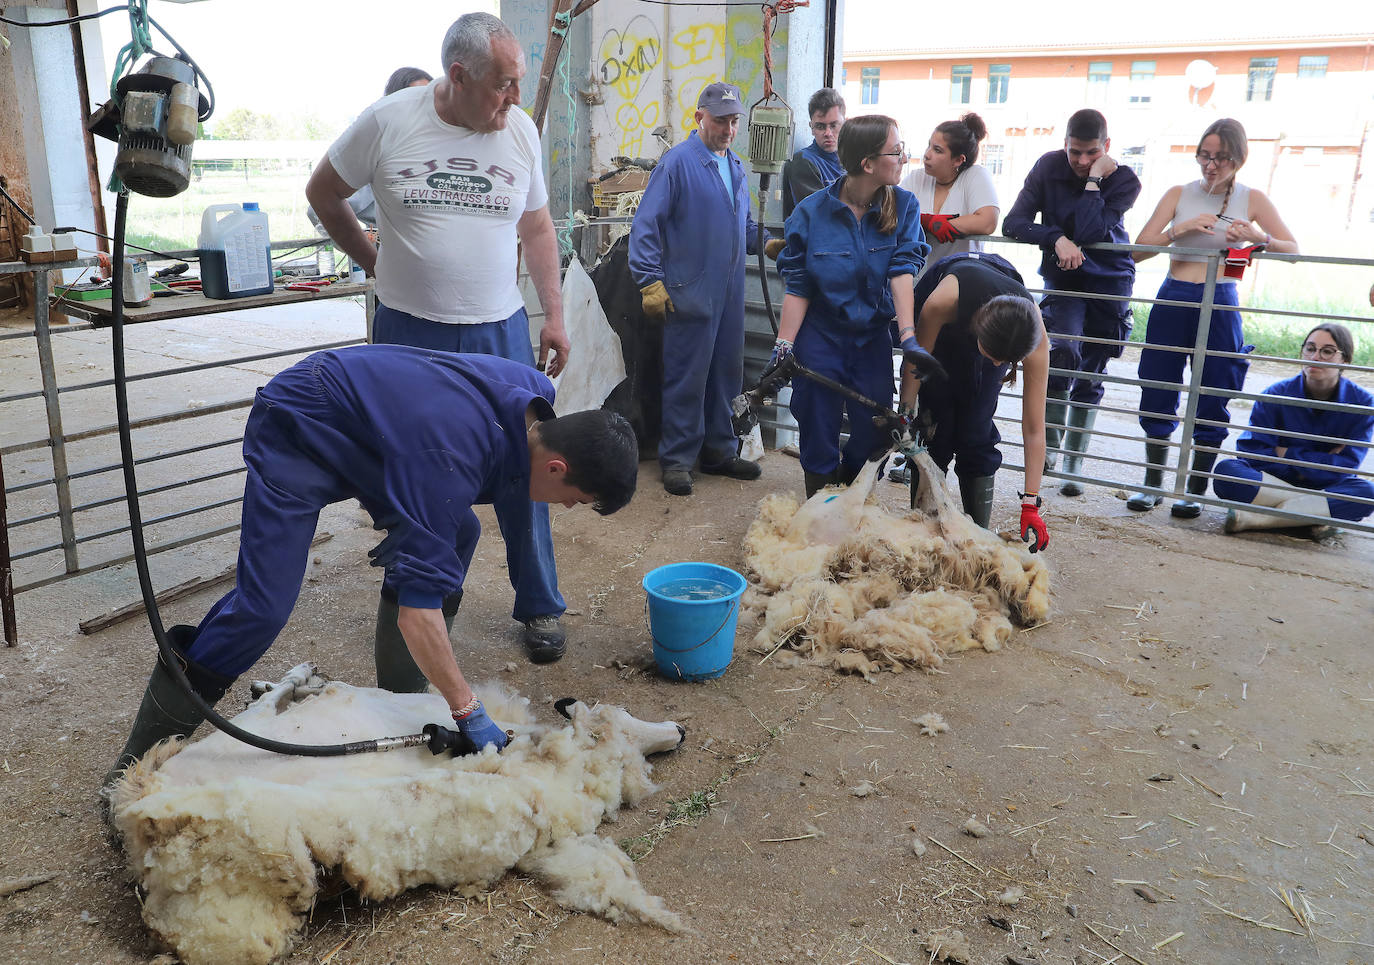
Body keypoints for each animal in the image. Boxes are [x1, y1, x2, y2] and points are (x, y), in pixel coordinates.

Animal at [747, 450, 1044, 676]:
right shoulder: (958, 527)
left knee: (871, 473)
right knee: (882, 476)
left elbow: (937, 489)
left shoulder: (957, 528)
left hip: (843, 510)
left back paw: (899, 438)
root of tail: (787, 540)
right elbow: (935, 491)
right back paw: (903, 434)